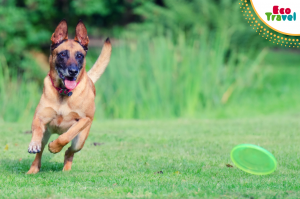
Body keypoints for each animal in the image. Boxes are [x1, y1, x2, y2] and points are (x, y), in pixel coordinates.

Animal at [26, 19, 111, 173]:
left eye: (79, 55)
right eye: (62, 54)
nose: (73, 71)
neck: (64, 93)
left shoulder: (84, 120)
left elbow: (66, 136)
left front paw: (54, 147)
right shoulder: (40, 117)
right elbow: (36, 130)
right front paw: (33, 144)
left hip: (80, 141)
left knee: (69, 151)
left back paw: (66, 169)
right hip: (46, 135)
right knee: (40, 153)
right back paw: (33, 170)